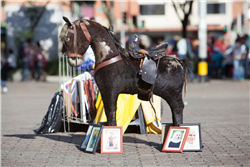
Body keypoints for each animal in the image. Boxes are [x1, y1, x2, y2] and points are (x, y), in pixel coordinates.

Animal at [59, 16, 190, 126]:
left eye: (68, 37)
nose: (71, 60)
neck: (109, 58)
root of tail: (180, 62)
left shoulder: (109, 91)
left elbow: (111, 114)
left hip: (173, 95)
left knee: (178, 110)